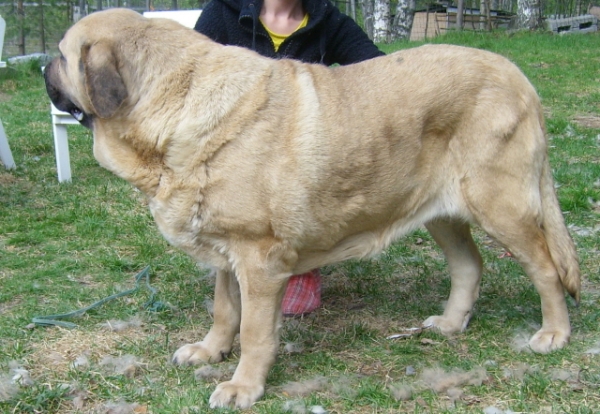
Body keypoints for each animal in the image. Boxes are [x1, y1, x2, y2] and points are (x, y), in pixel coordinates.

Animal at [45, 8, 580, 410]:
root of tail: (519, 78)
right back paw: (450, 324)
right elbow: (224, 309)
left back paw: (553, 333)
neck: (173, 105)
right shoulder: (226, 252)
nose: (40, 68)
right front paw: (211, 351)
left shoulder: (258, 259)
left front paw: (243, 386)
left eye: (61, 54)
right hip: (441, 212)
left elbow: (255, 330)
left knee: (545, 269)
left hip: (502, 207)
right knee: (470, 264)